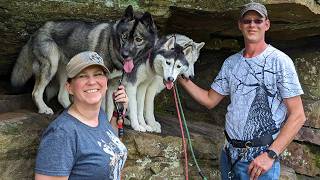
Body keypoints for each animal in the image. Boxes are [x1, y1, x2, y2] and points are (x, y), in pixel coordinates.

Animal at [10, 5, 158, 115]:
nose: (125, 54)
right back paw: (44, 109)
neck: (112, 46)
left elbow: (109, 112)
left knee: (61, 96)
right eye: (124, 36)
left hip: (66, 70)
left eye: (138, 39)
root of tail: (38, 30)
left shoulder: (112, 86)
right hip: (51, 66)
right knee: (36, 92)